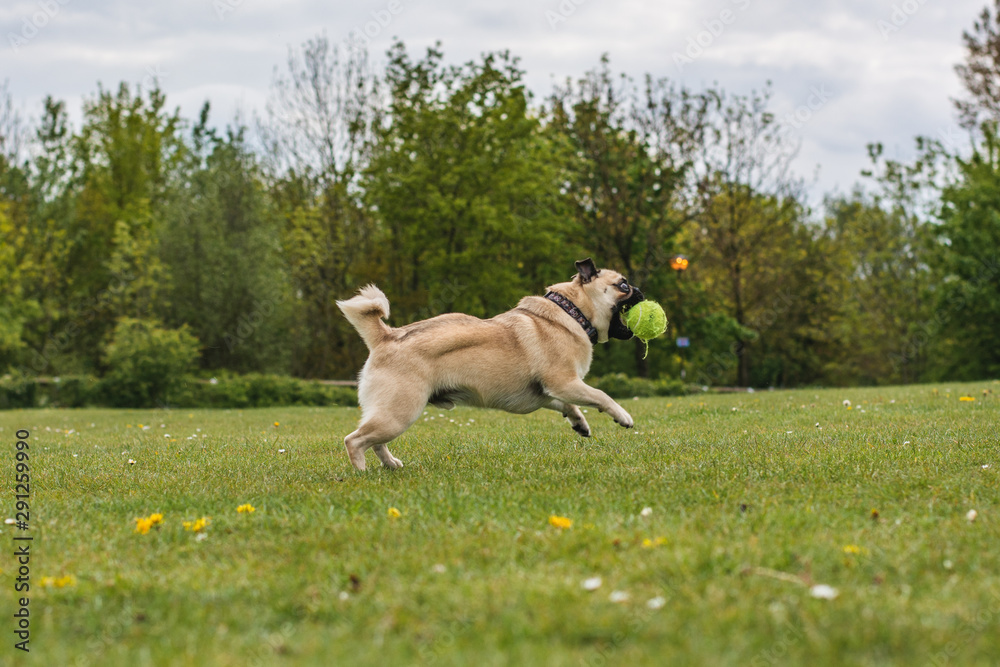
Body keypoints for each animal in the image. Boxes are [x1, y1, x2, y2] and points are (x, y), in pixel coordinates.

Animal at [336, 258, 644, 472]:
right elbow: (601, 396)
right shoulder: (565, 382)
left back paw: (390, 464)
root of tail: (386, 336)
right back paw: (362, 473)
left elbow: (568, 406)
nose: (640, 290)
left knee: (375, 442)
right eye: (623, 286)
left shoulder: (550, 392)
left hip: (390, 413)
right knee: (355, 440)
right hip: (399, 413)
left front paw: (579, 423)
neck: (572, 312)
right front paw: (623, 416)